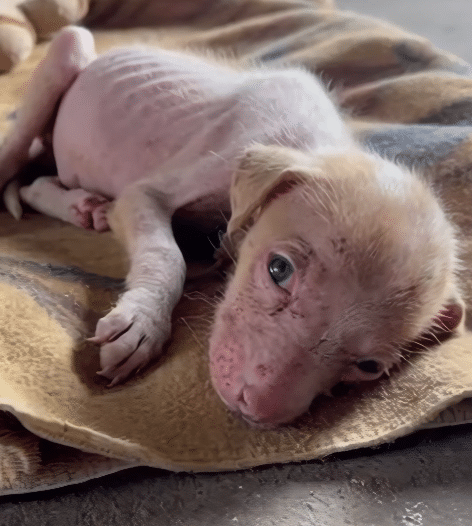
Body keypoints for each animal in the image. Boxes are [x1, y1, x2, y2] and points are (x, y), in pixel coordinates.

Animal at [0, 26, 464, 427]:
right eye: (279, 270)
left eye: (369, 366)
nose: (254, 407)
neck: (314, 146)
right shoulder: (160, 188)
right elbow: (166, 253)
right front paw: (142, 323)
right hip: (66, 58)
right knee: (17, 165)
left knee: (34, 183)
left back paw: (82, 207)